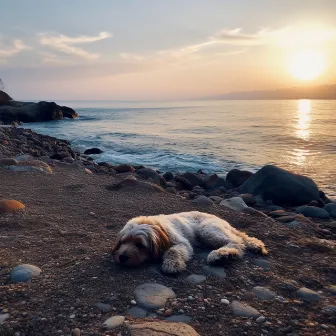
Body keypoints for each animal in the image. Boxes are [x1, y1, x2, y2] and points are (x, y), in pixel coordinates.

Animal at [113, 211, 268, 274]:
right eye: (123, 242)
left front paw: (172, 264)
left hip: (206, 229)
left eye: (140, 245)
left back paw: (221, 254)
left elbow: (173, 250)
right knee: (242, 237)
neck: (156, 226)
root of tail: (222, 220)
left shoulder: (181, 242)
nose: (122, 257)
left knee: (237, 241)